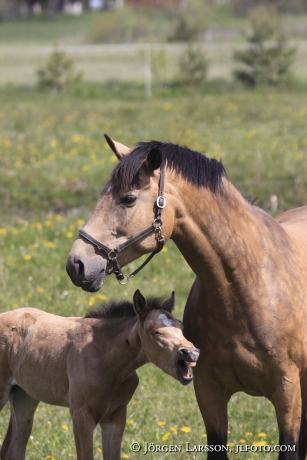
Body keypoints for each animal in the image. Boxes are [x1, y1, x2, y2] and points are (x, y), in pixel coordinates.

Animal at [0, 290, 200, 458]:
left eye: (181, 326)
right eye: (155, 332)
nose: (191, 353)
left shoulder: (115, 417)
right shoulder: (81, 417)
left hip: (24, 396)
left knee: (14, 448)